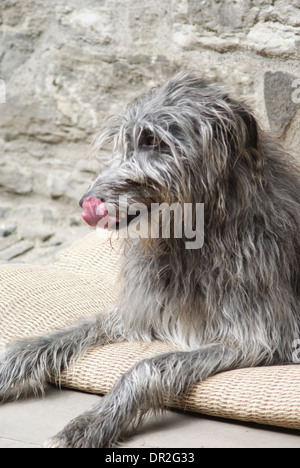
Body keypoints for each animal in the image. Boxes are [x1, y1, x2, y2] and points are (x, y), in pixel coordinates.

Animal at [0, 71, 300, 448]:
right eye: (121, 142)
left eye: (152, 140)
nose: (86, 201)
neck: (189, 240)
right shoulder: (141, 310)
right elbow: (62, 333)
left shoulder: (255, 338)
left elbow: (146, 367)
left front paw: (90, 423)